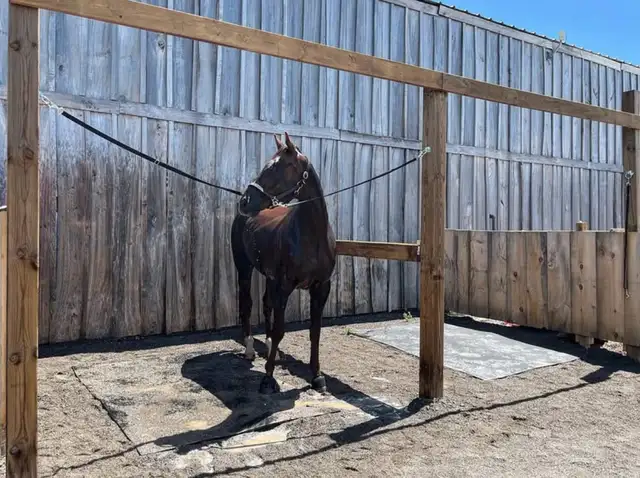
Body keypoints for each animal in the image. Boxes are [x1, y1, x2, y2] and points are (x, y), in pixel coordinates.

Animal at [230, 132, 336, 394]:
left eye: (278, 167)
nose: (245, 201)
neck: (311, 236)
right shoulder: (285, 286)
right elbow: (280, 330)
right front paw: (268, 379)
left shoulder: (321, 288)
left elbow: (315, 332)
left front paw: (317, 376)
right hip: (244, 269)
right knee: (247, 304)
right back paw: (250, 349)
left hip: (269, 277)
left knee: (266, 304)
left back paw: (271, 350)